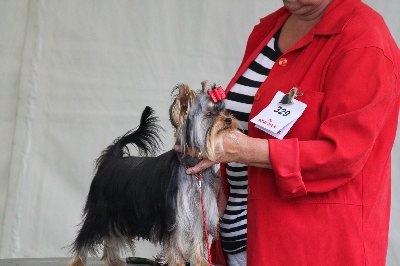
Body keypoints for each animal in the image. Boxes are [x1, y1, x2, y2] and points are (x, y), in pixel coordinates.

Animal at [68, 81, 241, 266]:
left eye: (224, 111)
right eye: (209, 114)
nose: (229, 119)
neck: (193, 167)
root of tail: (112, 160)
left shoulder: (197, 210)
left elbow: (196, 236)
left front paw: (201, 260)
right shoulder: (175, 213)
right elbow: (175, 240)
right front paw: (178, 261)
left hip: (119, 213)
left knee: (111, 236)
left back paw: (113, 260)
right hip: (100, 210)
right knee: (85, 236)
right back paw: (77, 261)